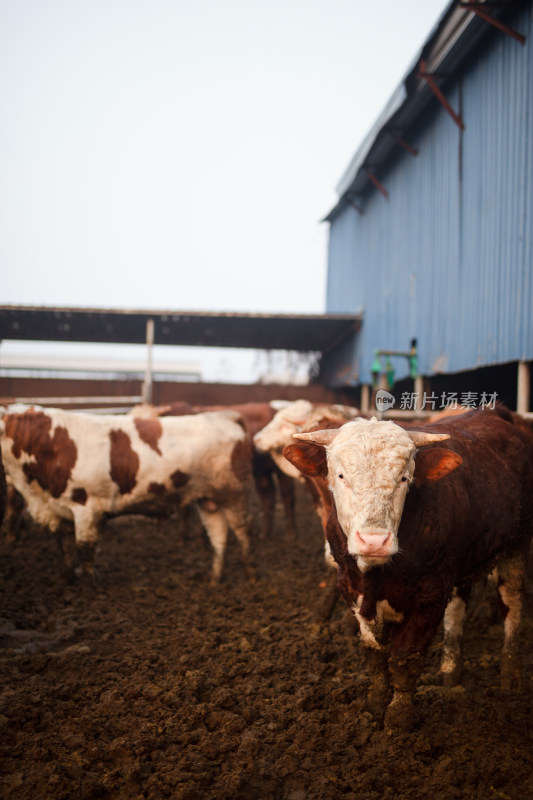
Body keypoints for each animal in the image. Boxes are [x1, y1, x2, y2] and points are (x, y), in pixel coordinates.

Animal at [0, 406, 256, 580]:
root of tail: (224, 415)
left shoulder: (87, 507)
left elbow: (85, 550)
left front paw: (89, 589)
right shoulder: (58, 509)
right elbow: (65, 549)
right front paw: (68, 580)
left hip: (234, 495)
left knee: (243, 533)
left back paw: (249, 576)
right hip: (207, 500)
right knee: (219, 536)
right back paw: (214, 580)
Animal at [284, 410, 532, 728]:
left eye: (404, 478)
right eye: (340, 476)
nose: (373, 541)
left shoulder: (429, 596)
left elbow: (405, 656)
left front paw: (399, 718)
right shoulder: (352, 590)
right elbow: (375, 656)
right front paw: (375, 706)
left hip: (518, 544)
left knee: (512, 605)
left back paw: (511, 677)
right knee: (457, 609)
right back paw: (449, 671)